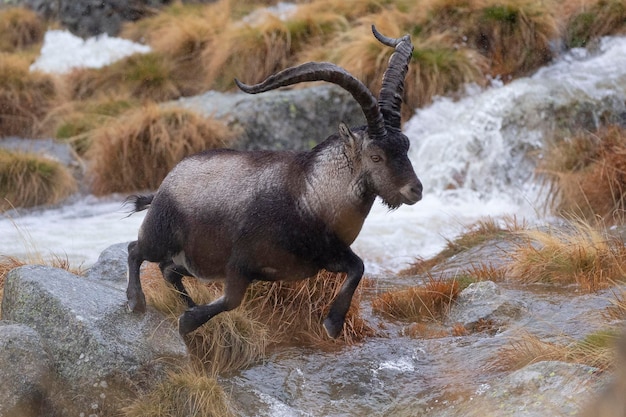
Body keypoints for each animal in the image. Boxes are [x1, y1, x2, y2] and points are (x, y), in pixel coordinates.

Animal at [125, 25, 420, 338]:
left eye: (406, 145)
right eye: (376, 156)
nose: (415, 189)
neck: (311, 196)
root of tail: (164, 184)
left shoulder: (325, 255)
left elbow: (358, 267)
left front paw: (332, 323)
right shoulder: (241, 263)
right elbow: (231, 300)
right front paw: (188, 322)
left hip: (194, 260)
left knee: (168, 270)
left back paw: (187, 304)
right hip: (161, 235)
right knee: (135, 249)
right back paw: (136, 301)